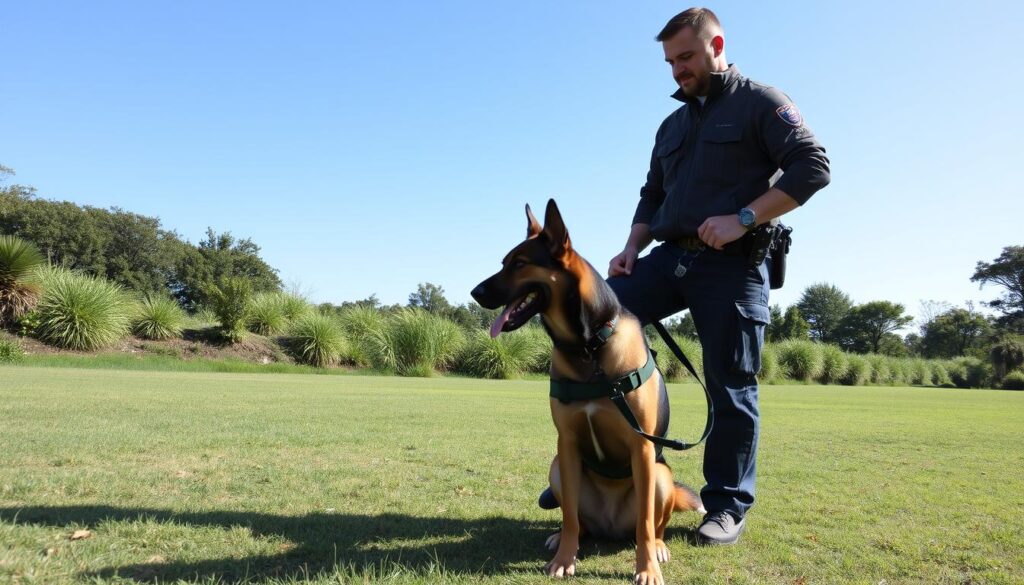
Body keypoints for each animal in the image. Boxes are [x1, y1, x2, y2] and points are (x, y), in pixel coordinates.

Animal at [471, 201, 704, 585]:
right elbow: (569, 518)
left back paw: (657, 547)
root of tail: (611, 526)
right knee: (580, 523)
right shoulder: (566, 443)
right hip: (557, 469)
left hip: (660, 477)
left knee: (651, 525)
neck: (588, 347)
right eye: (504, 262)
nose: (474, 293)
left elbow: (644, 522)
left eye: (519, 264)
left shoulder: (641, 447)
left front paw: (646, 569)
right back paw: (562, 538)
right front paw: (564, 559)